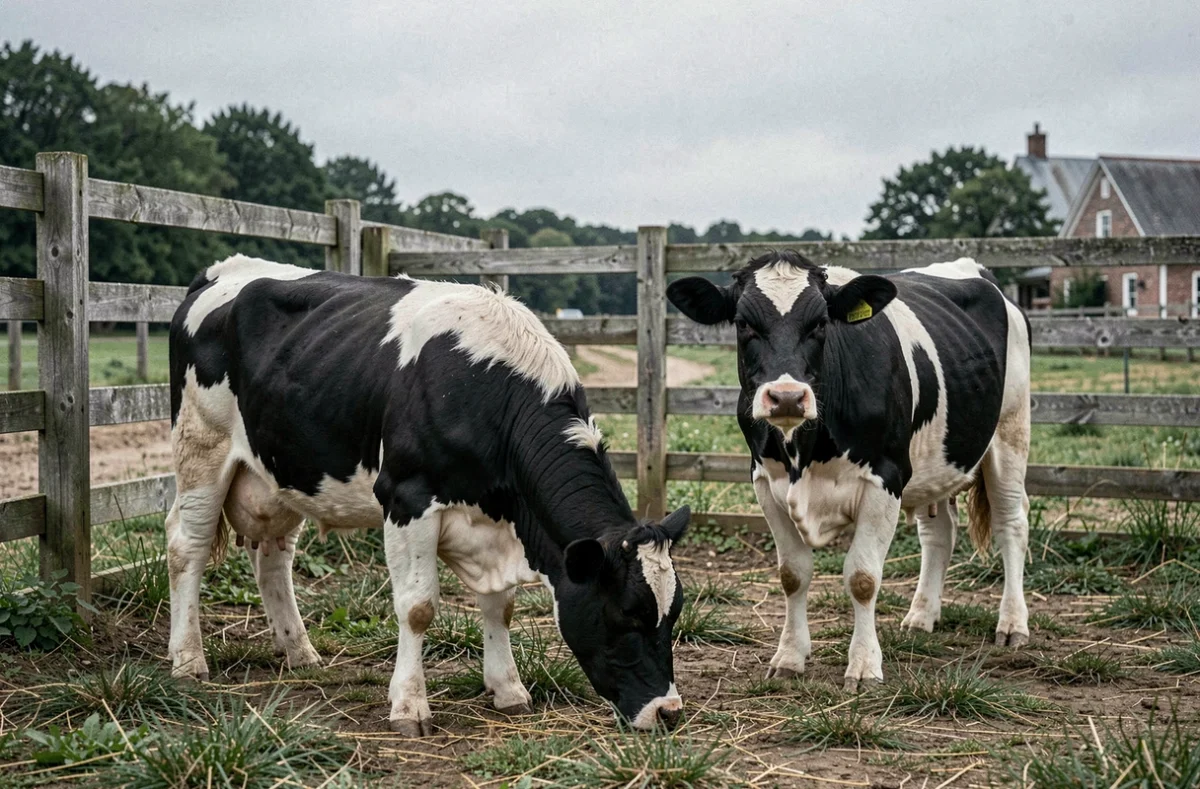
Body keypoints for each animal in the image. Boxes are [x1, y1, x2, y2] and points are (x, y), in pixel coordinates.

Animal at [165, 254, 689, 733]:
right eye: (625, 615)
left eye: (673, 615)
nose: (668, 711)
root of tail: (222, 269)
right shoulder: (407, 498)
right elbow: (417, 608)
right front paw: (409, 706)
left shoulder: (499, 522)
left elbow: (501, 605)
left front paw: (509, 690)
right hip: (201, 447)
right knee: (185, 546)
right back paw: (188, 660)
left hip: (281, 471)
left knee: (273, 557)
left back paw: (300, 651)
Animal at [667, 252, 1030, 691]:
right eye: (742, 323)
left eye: (821, 323)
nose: (786, 397)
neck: (804, 455)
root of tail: (973, 266)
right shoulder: (764, 481)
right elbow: (792, 574)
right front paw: (790, 657)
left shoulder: (884, 478)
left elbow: (862, 578)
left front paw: (863, 666)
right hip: (935, 464)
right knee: (939, 533)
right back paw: (921, 616)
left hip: (1010, 433)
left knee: (1012, 523)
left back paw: (1012, 624)